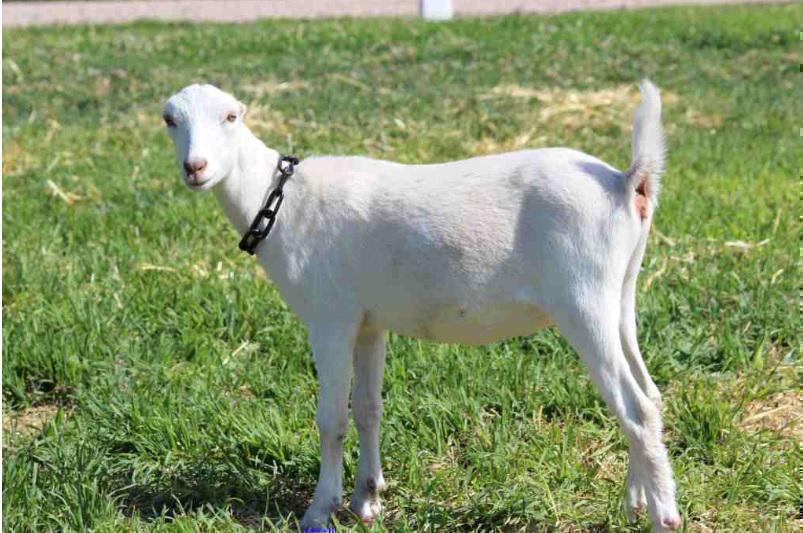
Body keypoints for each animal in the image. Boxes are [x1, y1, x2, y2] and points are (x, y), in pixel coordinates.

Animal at [162, 80, 681, 531]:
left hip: (582, 298)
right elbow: (367, 408)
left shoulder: (331, 318)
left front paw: (319, 510)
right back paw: (636, 501)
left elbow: (332, 419)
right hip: (619, 294)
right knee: (649, 395)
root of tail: (626, 182)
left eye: (231, 117)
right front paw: (366, 500)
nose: (195, 167)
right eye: (170, 120)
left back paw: (664, 517)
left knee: (636, 409)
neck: (282, 202)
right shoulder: (368, 322)